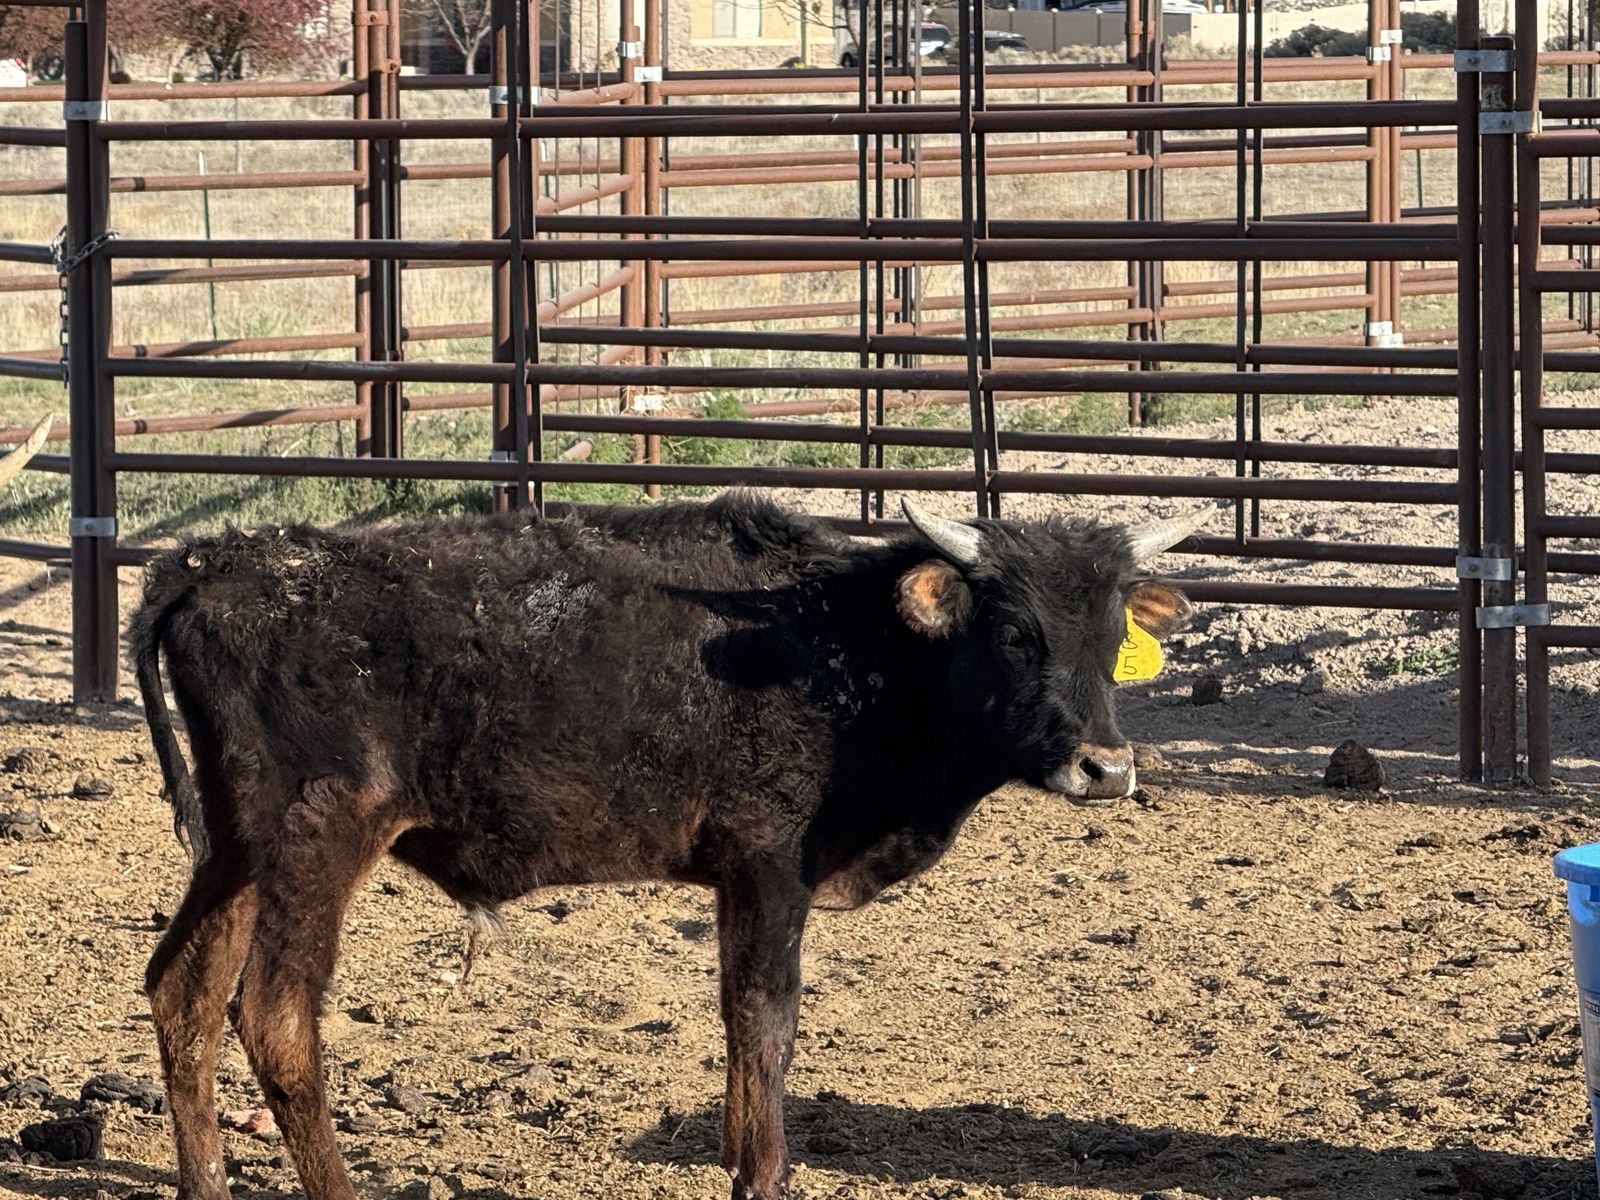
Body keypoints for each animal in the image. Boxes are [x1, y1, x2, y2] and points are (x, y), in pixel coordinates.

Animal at [131, 492, 1212, 1200]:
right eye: (1017, 633)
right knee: (274, 1017)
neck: (847, 646)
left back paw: (205, 1185)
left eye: (1111, 631)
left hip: (237, 849)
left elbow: (739, 1020)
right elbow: (766, 1019)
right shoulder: (772, 865)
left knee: (183, 988)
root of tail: (217, 564)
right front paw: (763, 1176)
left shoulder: (739, 880)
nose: (1105, 768)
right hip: (316, 842)